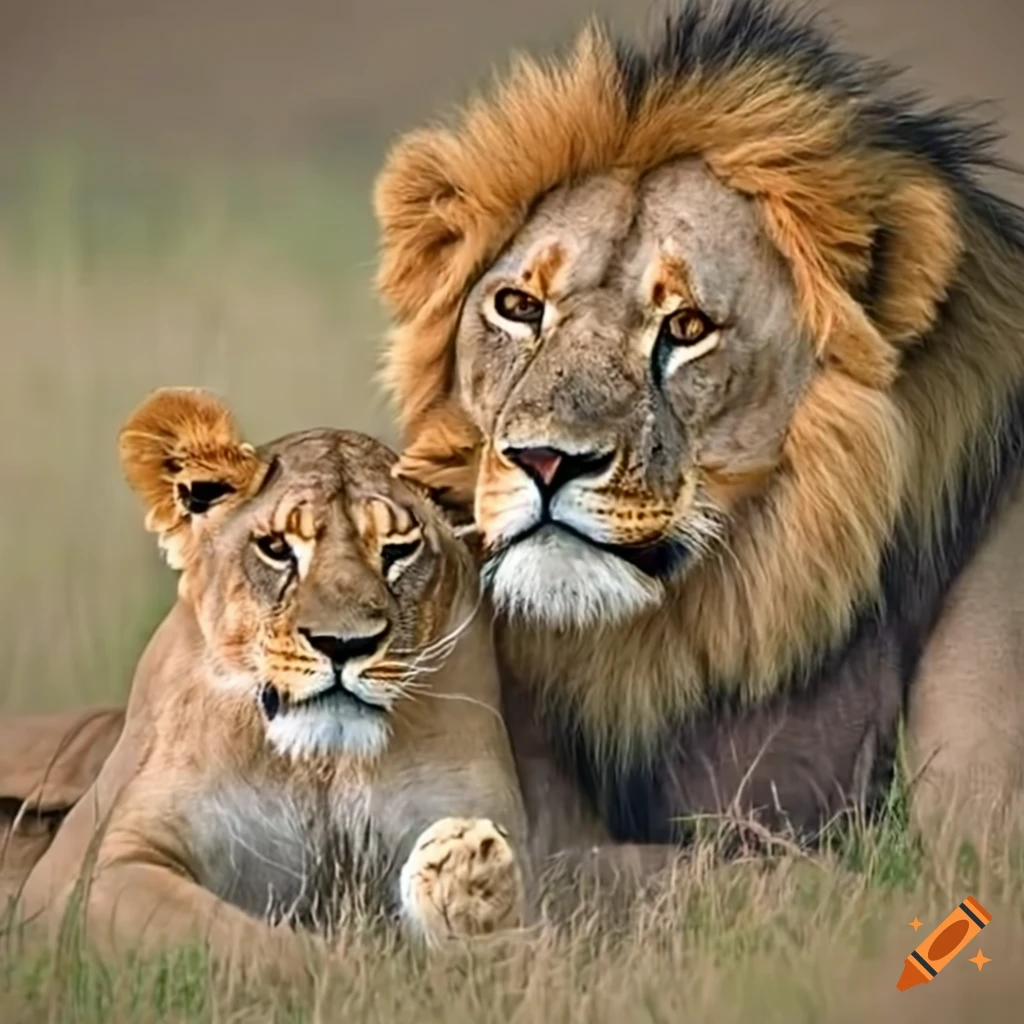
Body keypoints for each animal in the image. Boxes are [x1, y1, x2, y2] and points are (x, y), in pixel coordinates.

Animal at [10, 388, 527, 979]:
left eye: (398, 551)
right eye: (277, 549)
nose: (342, 644)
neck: (323, 768)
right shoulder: (91, 870)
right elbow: (253, 943)